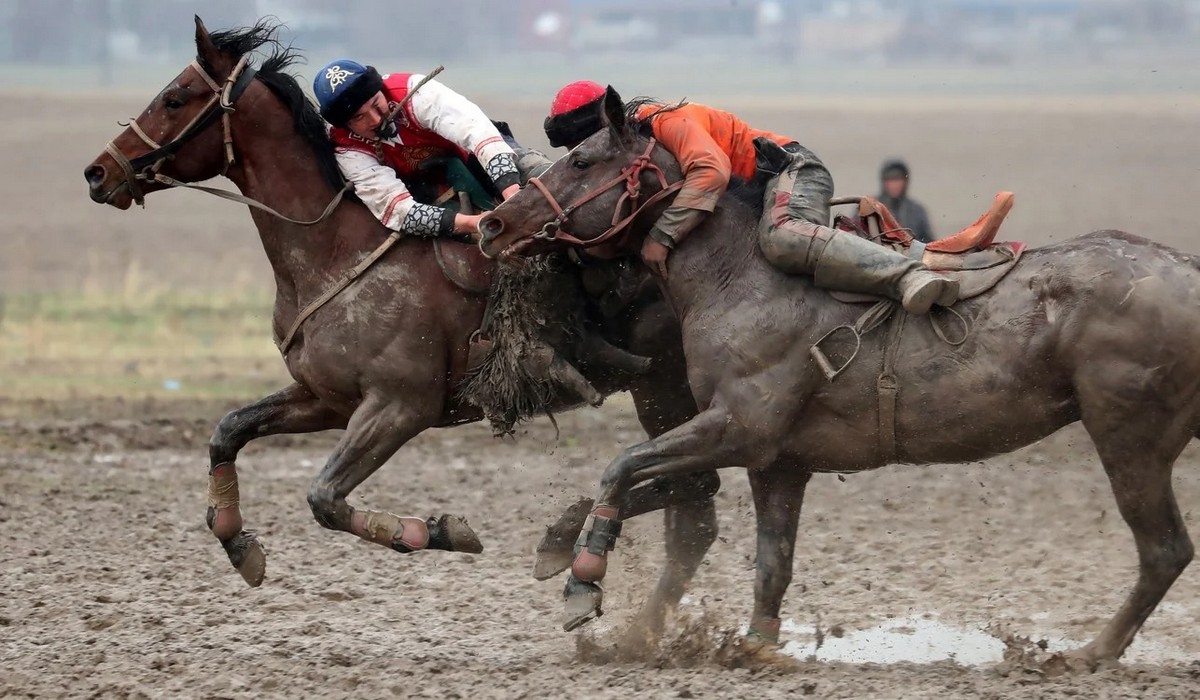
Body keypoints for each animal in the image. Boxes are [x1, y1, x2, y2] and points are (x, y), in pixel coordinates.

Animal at [84, 17, 720, 619]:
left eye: (175, 97)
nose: (97, 172)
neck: (335, 255)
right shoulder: (328, 400)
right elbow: (228, 431)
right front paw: (239, 544)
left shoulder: (399, 406)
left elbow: (324, 497)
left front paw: (438, 531)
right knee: (693, 504)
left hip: (663, 389)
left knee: (694, 488)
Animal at [482, 90, 1200, 672]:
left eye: (582, 161)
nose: (492, 223)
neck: (741, 278)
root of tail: (1186, 271)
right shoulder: (777, 463)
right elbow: (770, 560)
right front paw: (755, 645)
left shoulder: (739, 428)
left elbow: (624, 466)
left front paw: (582, 580)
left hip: (1129, 442)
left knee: (1164, 551)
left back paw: (1089, 653)